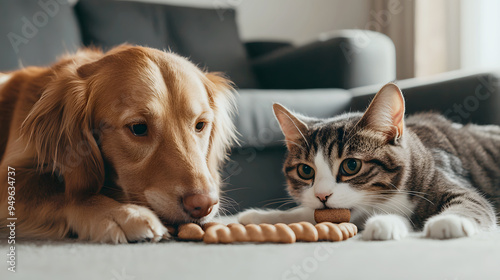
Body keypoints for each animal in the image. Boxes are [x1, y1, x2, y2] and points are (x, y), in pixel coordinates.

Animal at [0, 45, 236, 243]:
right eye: (138, 128)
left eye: (200, 125)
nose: (204, 204)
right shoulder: (9, 177)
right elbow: (65, 192)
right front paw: (122, 214)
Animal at [238, 83, 500, 241]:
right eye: (305, 170)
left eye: (351, 166)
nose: (322, 195)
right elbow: (309, 213)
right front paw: (261, 217)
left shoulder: (444, 173)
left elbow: (472, 202)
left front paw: (448, 220)